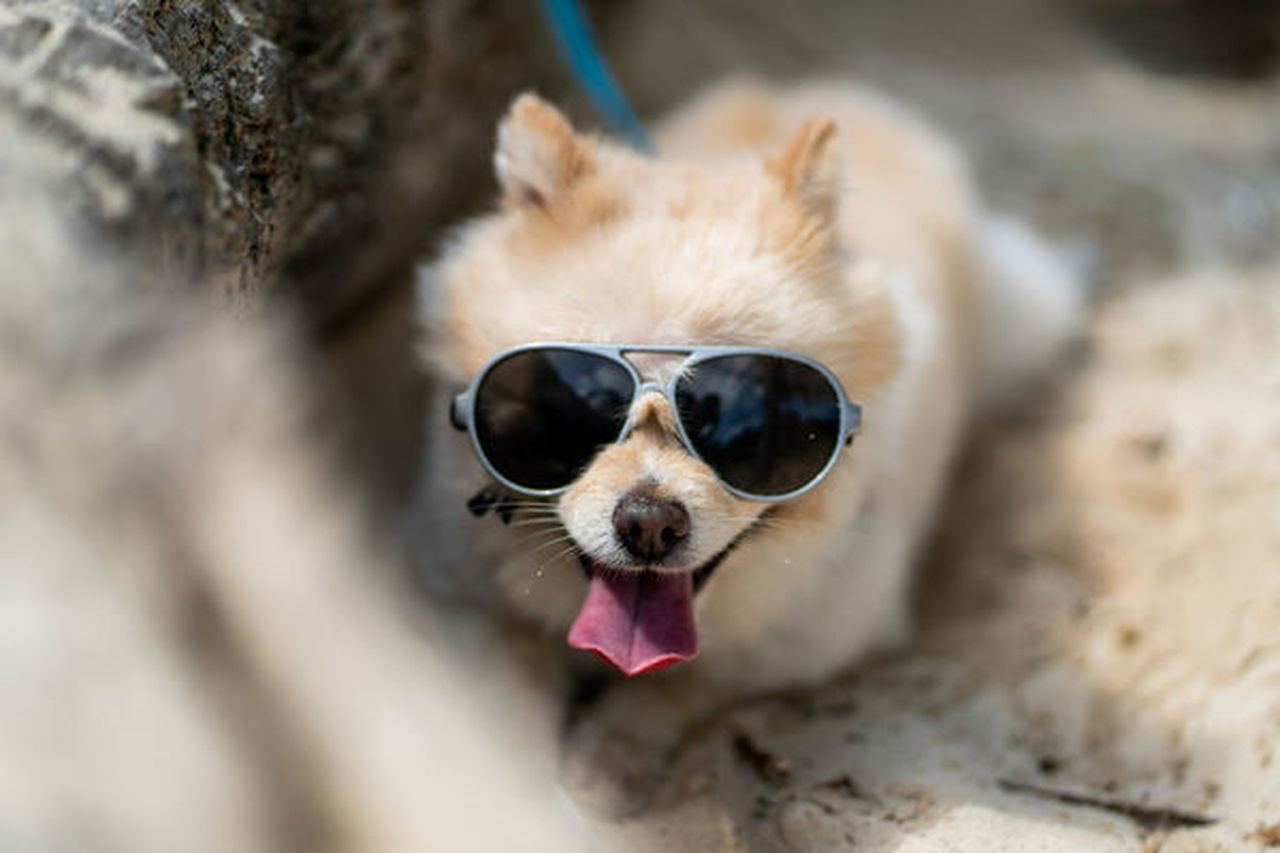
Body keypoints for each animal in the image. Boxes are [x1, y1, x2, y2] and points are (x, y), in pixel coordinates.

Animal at [412, 78, 1080, 804]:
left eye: (744, 414)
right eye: (573, 399)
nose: (649, 523)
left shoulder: (803, 637)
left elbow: (681, 683)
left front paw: (606, 760)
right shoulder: (469, 597)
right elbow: (513, 690)